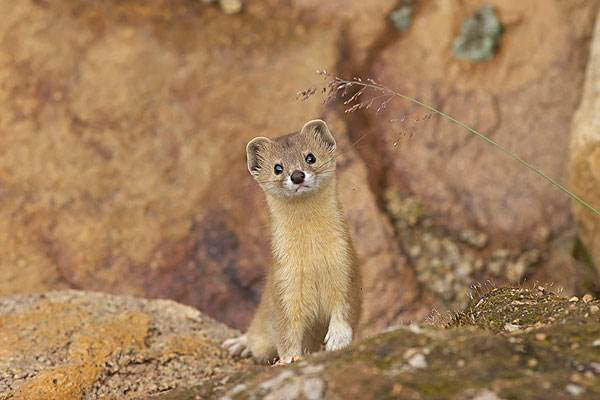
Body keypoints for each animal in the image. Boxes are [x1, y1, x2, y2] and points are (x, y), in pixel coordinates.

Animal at [224, 118, 360, 362]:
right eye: (277, 167)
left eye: (310, 157)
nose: (297, 175)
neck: (313, 256)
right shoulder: (284, 283)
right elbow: (287, 333)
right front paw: (288, 359)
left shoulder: (346, 266)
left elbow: (345, 310)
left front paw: (337, 339)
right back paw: (239, 344)